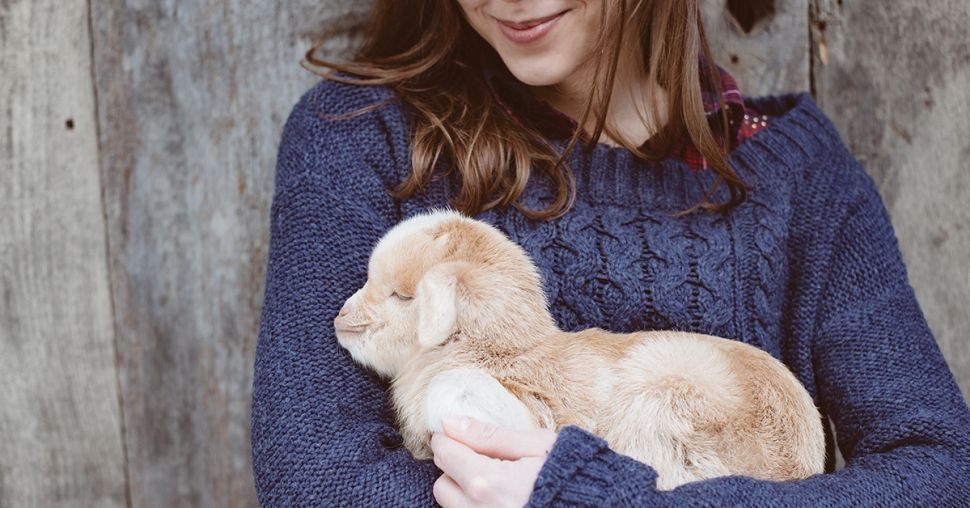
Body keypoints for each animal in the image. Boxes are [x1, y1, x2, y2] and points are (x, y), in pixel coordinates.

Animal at [332, 209, 824, 488]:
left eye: (403, 296)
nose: (340, 317)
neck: (502, 350)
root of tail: (797, 467)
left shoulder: (542, 409)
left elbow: (453, 390)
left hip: (663, 400)